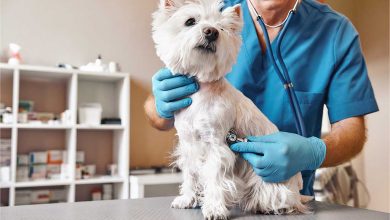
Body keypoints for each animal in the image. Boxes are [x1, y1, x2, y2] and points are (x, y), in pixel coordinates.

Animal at [152, 0, 308, 218]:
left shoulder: (217, 145)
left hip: (272, 182)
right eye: (190, 21)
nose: (211, 32)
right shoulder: (188, 143)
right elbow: (191, 174)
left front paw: (214, 208)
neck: (200, 89)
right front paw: (187, 199)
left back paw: (271, 206)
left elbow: (215, 179)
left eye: (222, 28)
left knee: (282, 198)